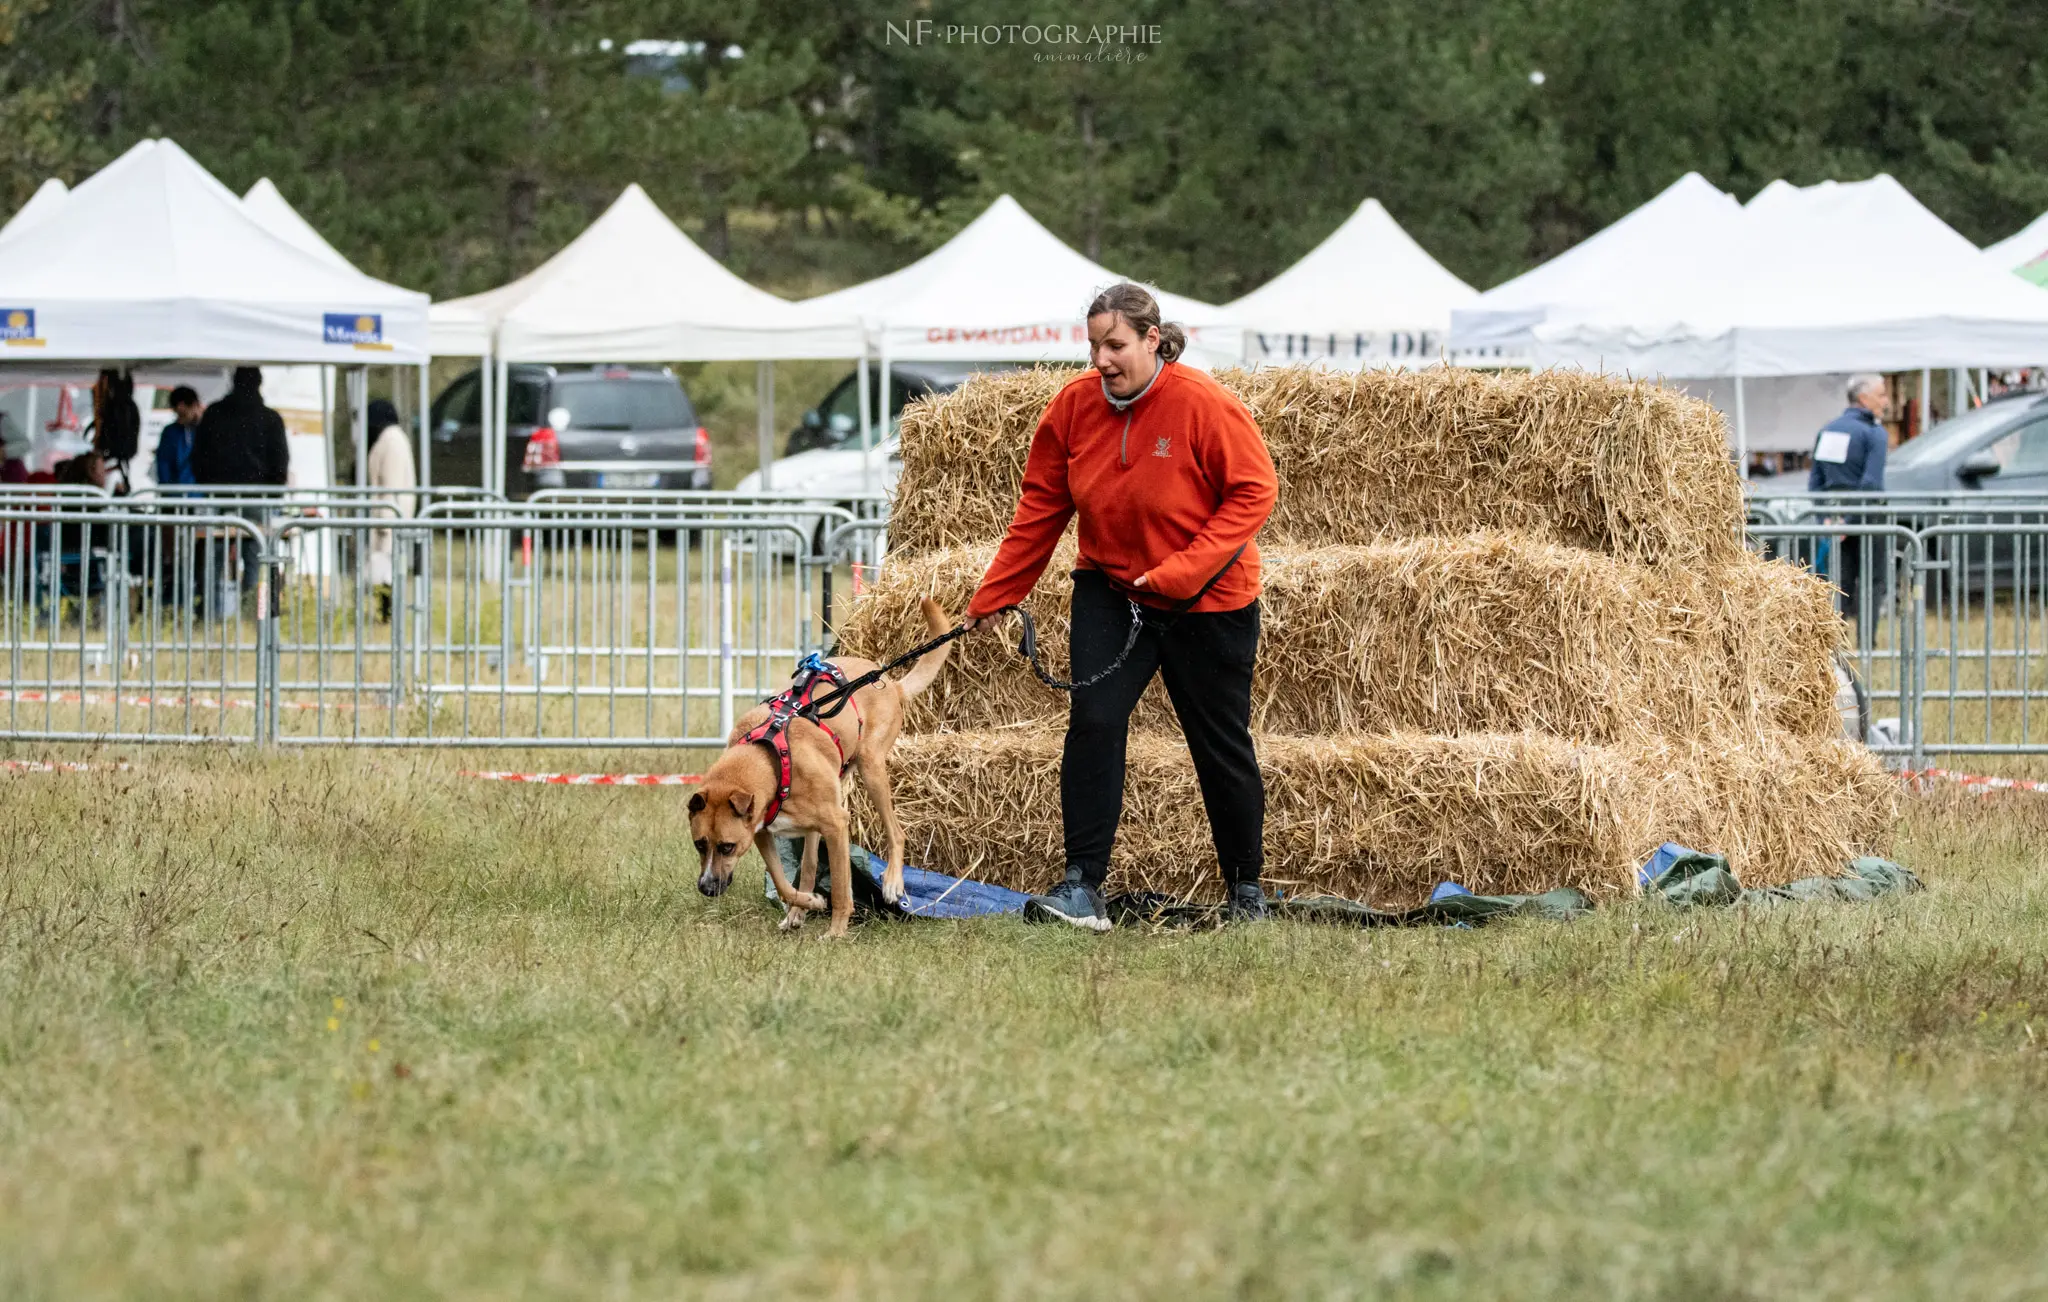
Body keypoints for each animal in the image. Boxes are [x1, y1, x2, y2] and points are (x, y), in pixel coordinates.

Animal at [679, 601, 950, 937]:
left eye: (727, 847)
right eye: (699, 844)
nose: (706, 888)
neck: (769, 756)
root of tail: (890, 684)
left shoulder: (836, 824)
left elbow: (841, 886)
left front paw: (836, 931)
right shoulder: (761, 833)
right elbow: (782, 882)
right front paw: (810, 902)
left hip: (871, 767)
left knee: (896, 832)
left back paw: (891, 883)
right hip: (823, 810)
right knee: (808, 865)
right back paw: (799, 910)